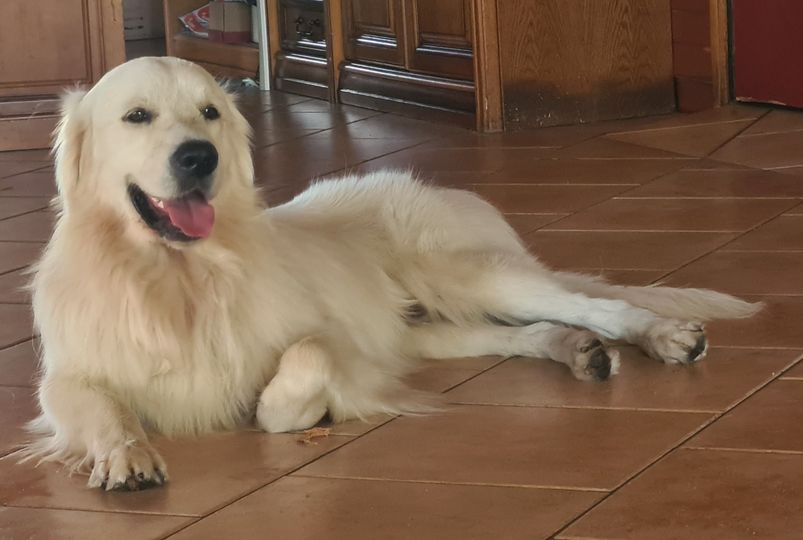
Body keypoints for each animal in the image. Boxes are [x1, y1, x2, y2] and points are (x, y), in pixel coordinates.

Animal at [21, 57, 760, 491]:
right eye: (137, 116)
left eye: (209, 112)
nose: (200, 156)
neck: (177, 279)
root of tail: (433, 184)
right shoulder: (67, 378)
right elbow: (97, 405)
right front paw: (126, 454)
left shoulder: (341, 343)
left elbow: (301, 366)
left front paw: (290, 408)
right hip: (440, 327)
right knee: (533, 329)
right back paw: (579, 352)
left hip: (466, 276)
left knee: (594, 305)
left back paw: (665, 336)